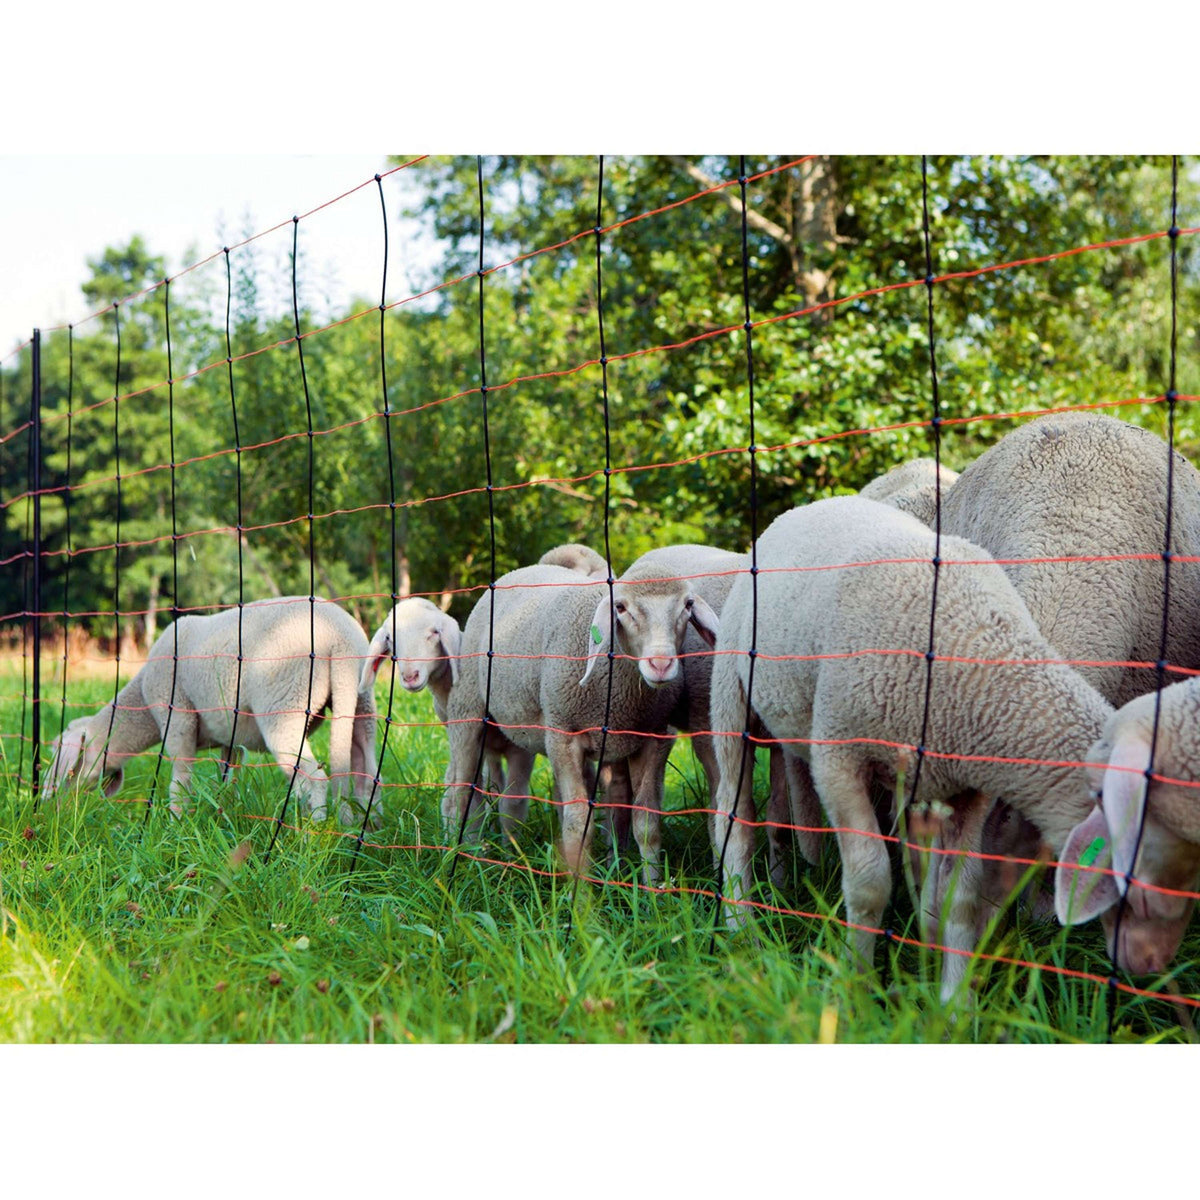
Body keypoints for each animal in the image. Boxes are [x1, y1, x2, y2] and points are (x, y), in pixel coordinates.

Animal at [42, 597, 379, 830]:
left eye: (60, 756)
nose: (46, 806)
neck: (141, 705)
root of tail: (339, 637)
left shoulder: (176, 716)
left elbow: (180, 780)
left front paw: (175, 826)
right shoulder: (233, 738)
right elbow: (227, 779)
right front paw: (223, 814)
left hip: (284, 702)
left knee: (314, 778)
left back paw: (311, 834)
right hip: (361, 701)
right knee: (367, 771)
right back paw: (367, 828)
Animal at [444, 556, 715, 878]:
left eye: (688, 604)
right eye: (620, 607)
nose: (660, 665)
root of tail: (519, 571)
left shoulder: (655, 739)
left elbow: (647, 822)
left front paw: (652, 887)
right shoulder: (564, 737)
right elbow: (578, 821)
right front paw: (579, 889)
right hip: (468, 710)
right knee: (461, 793)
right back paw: (460, 857)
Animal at [705, 496, 1108, 1003]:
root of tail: (805, 507)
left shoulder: (968, 789)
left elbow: (958, 898)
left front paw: (953, 1003)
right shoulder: (838, 755)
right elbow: (869, 883)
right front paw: (856, 990)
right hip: (731, 694)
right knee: (732, 816)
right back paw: (741, 929)